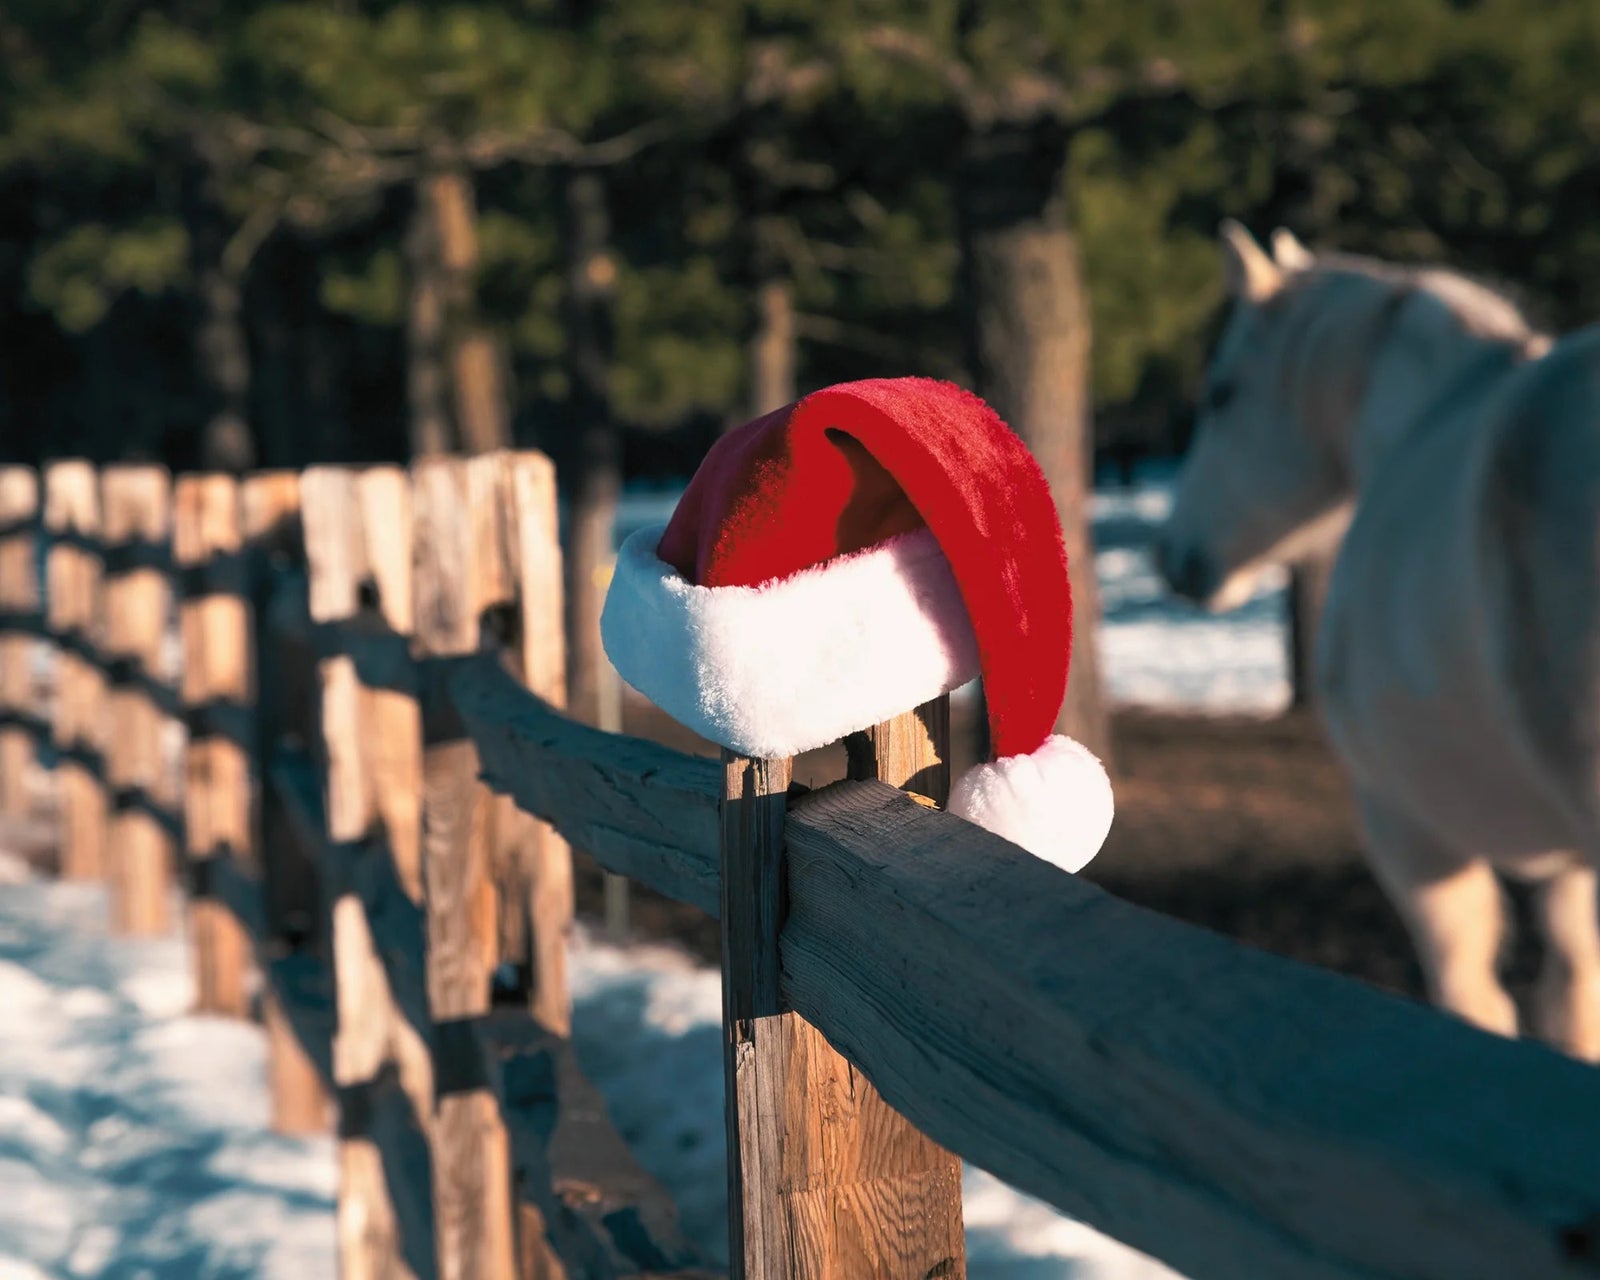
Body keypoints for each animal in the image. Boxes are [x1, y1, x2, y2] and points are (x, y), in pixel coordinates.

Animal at [1153, 221, 1600, 1060]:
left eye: (1222, 393)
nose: (1175, 557)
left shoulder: (1409, 836)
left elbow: (1475, 1000)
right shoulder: (1569, 877)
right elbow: (1573, 1001)